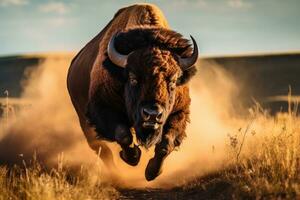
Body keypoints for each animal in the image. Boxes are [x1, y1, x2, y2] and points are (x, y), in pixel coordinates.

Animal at [68, 3, 199, 181]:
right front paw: (133, 157)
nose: (152, 114)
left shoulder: (179, 112)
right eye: (133, 78)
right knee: (101, 149)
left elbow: (166, 144)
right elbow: (123, 135)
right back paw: (116, 175)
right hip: (84, 121)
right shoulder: (103, 108)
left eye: (173, 81)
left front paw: (152, 172)